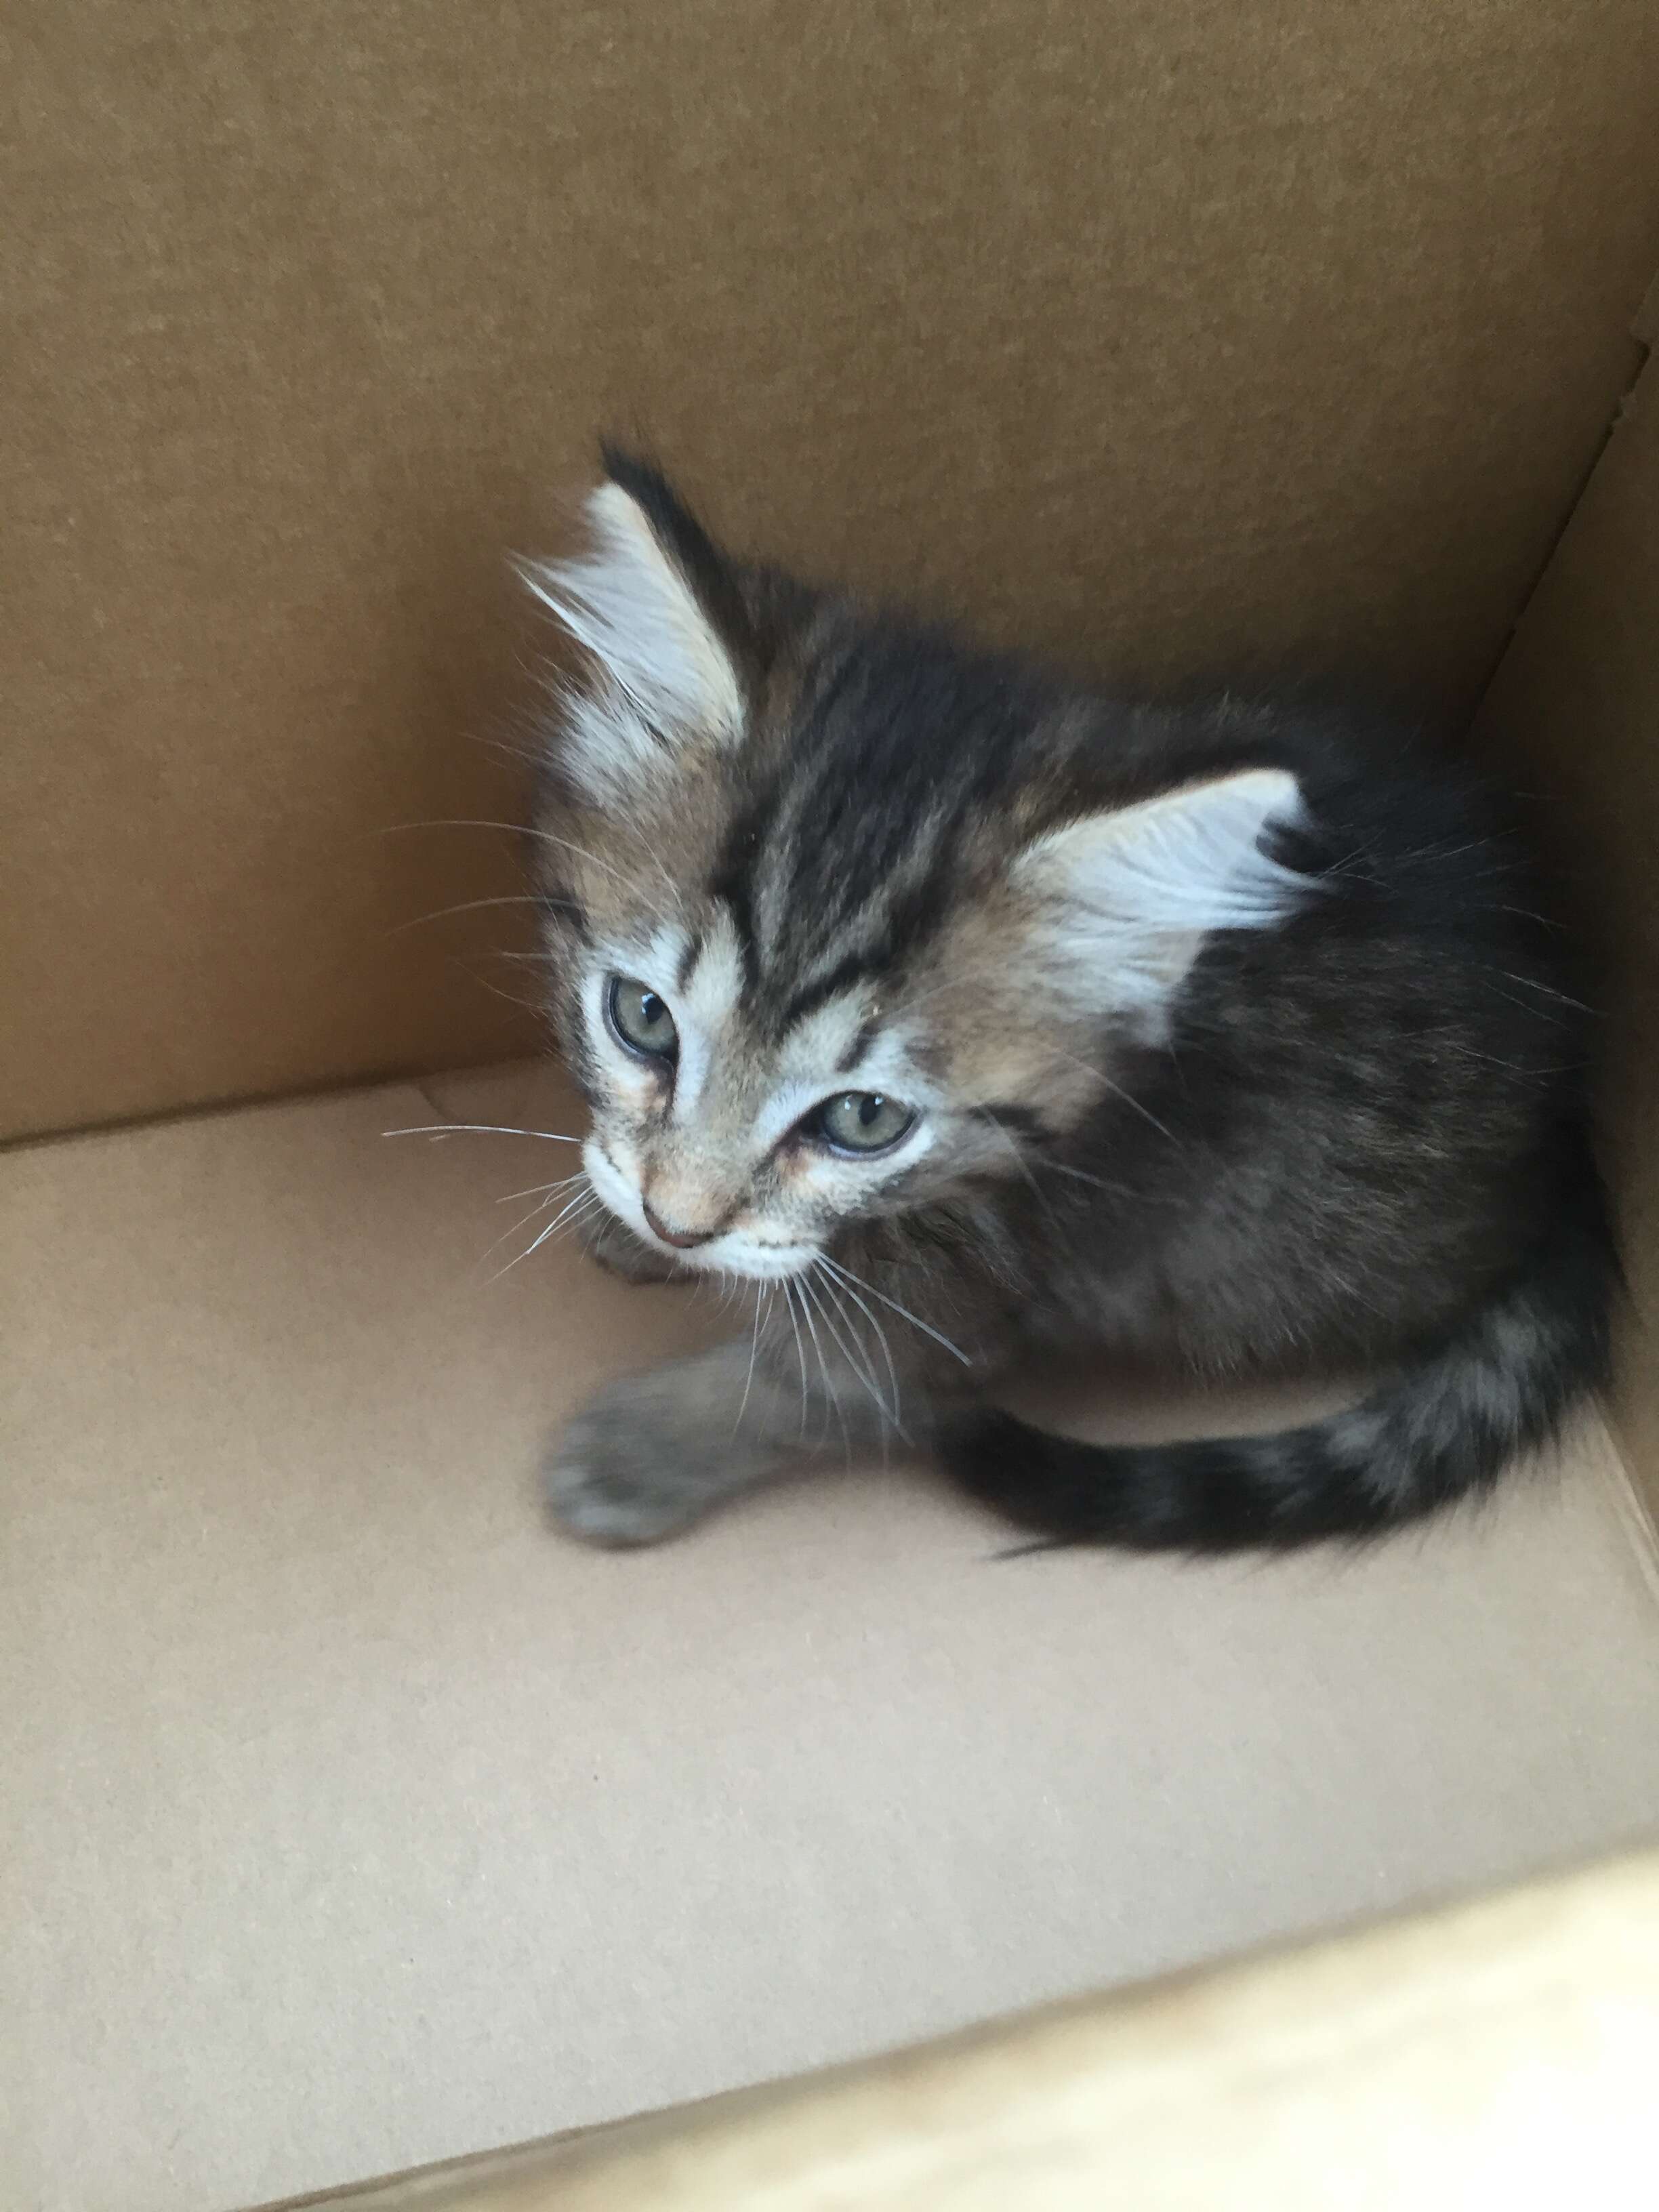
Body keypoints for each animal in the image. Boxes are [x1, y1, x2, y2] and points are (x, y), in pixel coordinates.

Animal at [517, 445, 1610, 1557]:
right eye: (643, 1018)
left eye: (864, 1119)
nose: (676, 1223)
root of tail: (1567, 1135)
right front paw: (625, 1220)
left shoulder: (990, 1291)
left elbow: (824, 1390)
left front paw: (639, 1451)